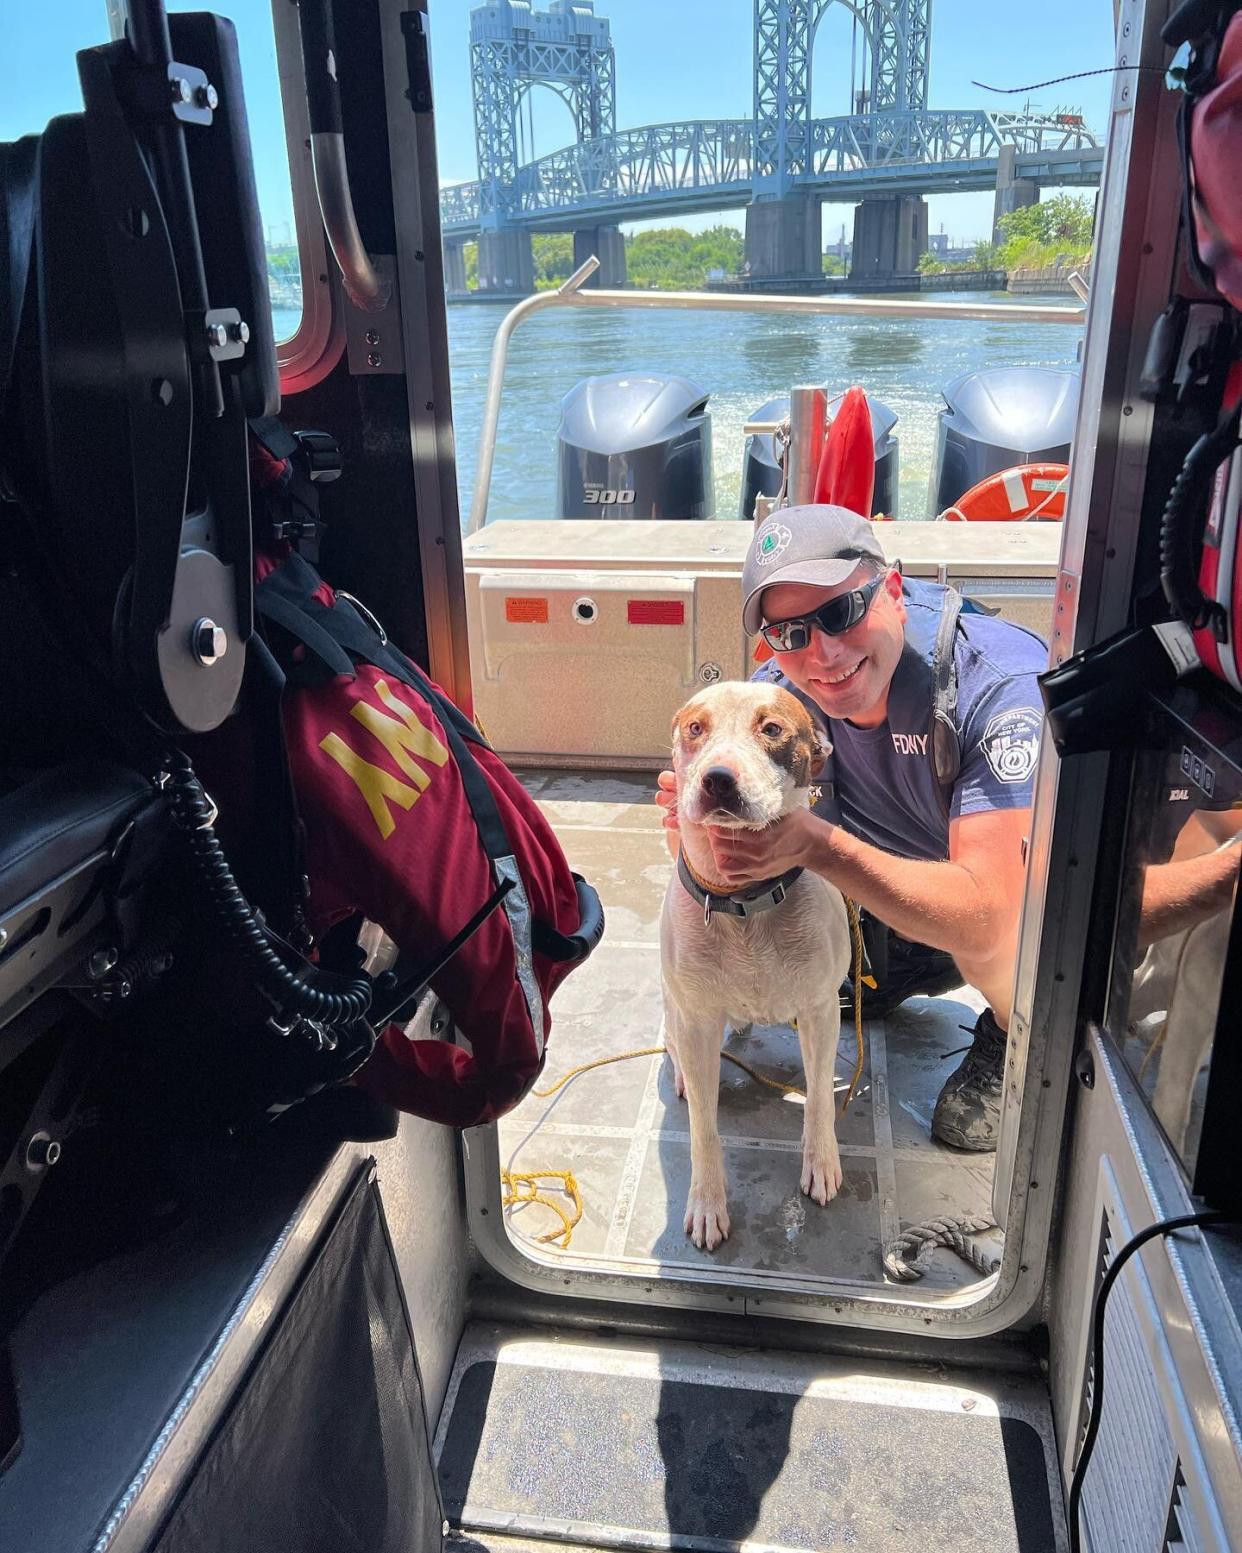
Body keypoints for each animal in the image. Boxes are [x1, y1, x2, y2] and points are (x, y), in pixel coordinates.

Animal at [658, 680, 856, 1248]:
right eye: (695, 727)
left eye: (771, 728)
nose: (718, 779)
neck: (742, 901)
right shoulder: (697, 1017)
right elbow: (703, 1128)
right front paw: (707, 1203)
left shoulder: (820, 1010)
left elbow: (819, 1096)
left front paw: (821, 1160)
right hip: (676, 1006)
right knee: (674, 1040)